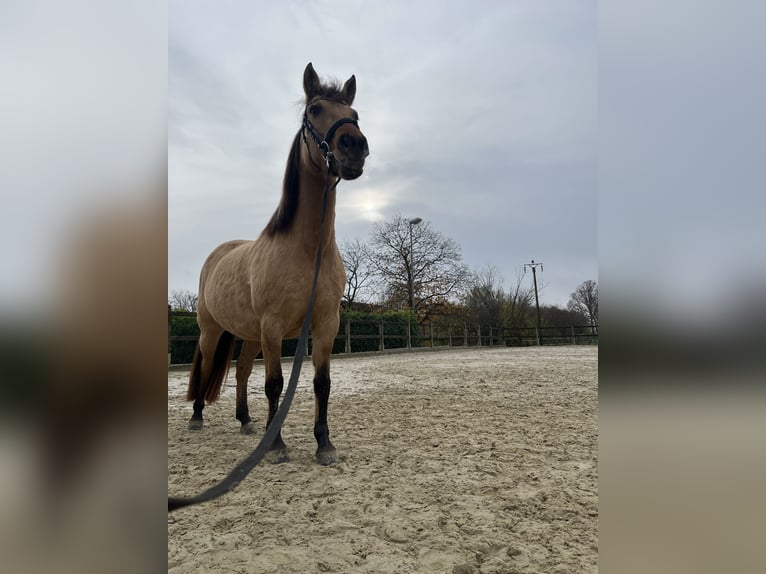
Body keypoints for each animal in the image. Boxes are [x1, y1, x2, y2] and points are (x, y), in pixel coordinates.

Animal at [186, 63, 369, 466]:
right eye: (315, 109)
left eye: (354, 114)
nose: (354, 147)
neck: (307, 250)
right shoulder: (273, 326)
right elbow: (274, 384)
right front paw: (278, 446)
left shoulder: (325, 325)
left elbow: (321, 383)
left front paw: (324, 444)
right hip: (213, 330)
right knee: (206, 367)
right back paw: (196, 418)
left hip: (250, 335)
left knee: (239, 371)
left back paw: (245, 420)